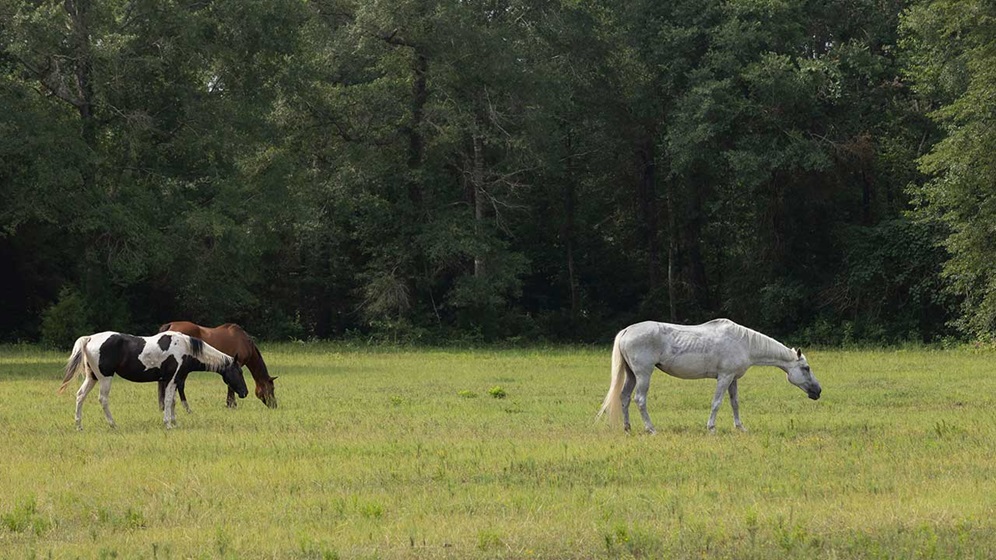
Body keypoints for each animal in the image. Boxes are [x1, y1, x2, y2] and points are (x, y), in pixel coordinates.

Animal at [58, 330, 249, 430]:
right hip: (105, 378)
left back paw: (79, 425)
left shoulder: (173, 380)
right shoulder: (171, 379)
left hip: (92, 378)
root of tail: (90, 338)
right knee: (103, 399)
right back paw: (113, 424)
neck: (185, 348)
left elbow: (172, 402)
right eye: (239, 372)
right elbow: (169, 400)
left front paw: (174, 421)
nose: (245, 392)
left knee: (80, 396)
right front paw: (168, 424)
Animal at [596, 320, 820, 434]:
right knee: (640, 400)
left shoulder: (733, 379)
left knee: (624, 398)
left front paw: (740, 427)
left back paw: (627, 428)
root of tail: (627, 331)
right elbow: (717, 403)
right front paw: (711, 428)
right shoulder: (724, 377)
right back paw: (651, 429)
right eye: (806, 368)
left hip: (632, 374)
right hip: (643, 374)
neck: (744, 343)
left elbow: (734, 403)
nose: (818, 391)